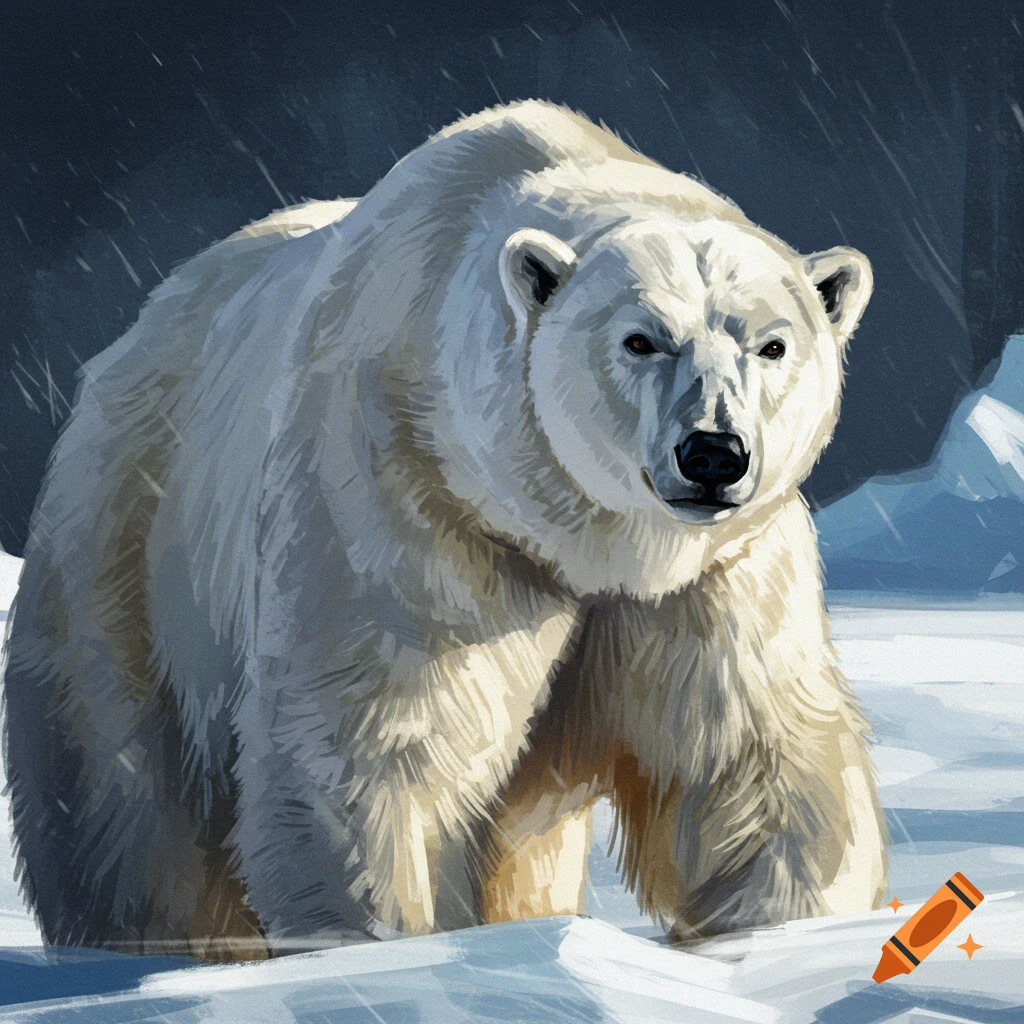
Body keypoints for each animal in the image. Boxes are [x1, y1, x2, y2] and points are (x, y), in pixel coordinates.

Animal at [2, 100, 887, 960]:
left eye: (771, 344)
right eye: (641, 339)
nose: (712, 452)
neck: (578, 539)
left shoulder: (714, 573)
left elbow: (746, 763)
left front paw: (785, 941)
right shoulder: (407, 501)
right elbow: (380, 751)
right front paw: (388, 952)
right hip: (131, 551)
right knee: (126, 802)